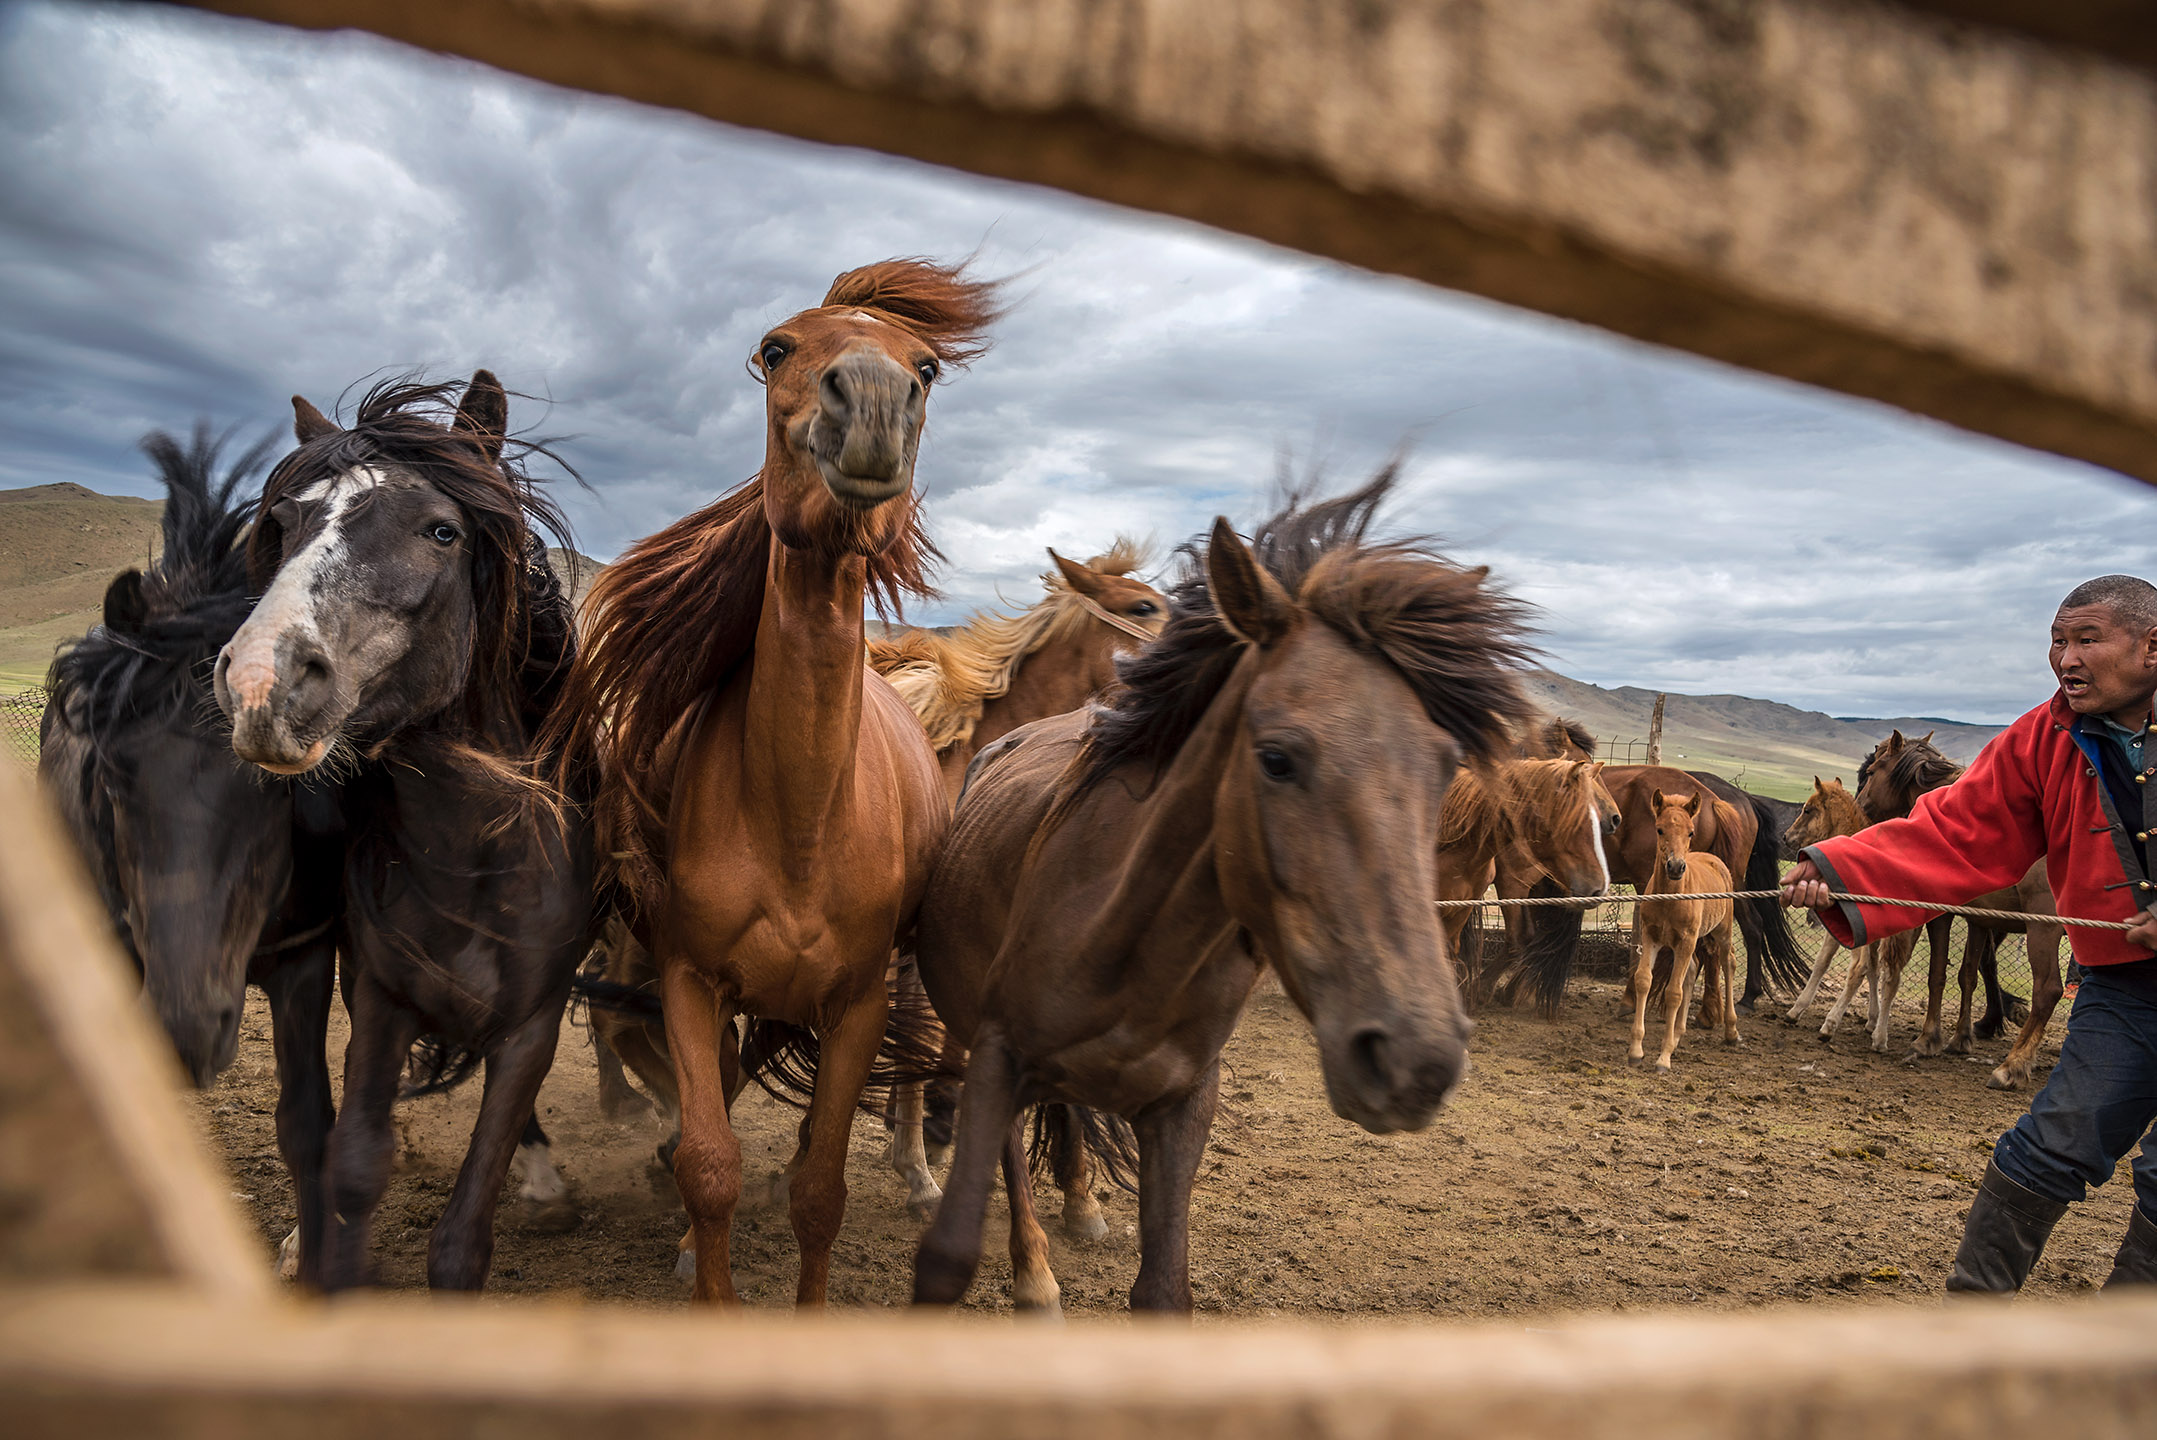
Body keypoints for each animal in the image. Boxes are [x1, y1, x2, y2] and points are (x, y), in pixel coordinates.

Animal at [211, 375, 591, 1293]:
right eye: (283, 523)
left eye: (441, 530)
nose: (260, 682)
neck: (473, 853)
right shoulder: (378, 998)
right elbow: (353, 1166)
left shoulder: (533, 1023)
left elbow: (462, 1238)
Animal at [552, 255, 996, 1302]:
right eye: (776, 347)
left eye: (927, 367)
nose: (872, 399)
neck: (797, 820)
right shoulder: (687, 979)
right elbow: (710, 1165)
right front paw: (697, 1254)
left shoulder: (860, 1005)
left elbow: (819, 1190)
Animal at [910, 478, 1535, 1310]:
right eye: (1275, 758)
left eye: (1445, 765)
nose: (1417, 1059)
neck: (1131, 943)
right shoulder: (996, 1056)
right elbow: (947, 1255)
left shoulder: (1182, 1106)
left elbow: (1164, 1289)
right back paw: (1033, 1269)